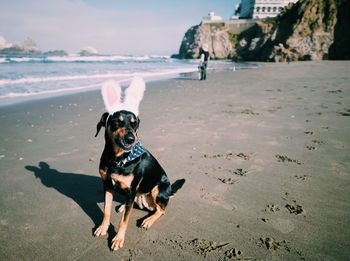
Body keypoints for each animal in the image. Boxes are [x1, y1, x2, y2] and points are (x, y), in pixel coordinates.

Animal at [93, 77, 186, 250]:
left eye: (134, 124)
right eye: (117, 122)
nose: (131, 139)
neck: (117, 159)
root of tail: (170, 190)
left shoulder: (130, 190)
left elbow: (124, 221)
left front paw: (118, 239)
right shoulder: (107, 185)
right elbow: (106, 210)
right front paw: (103, 227)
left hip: (157, 189)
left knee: (161, 210)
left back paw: (148, 220)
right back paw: (124, 206)